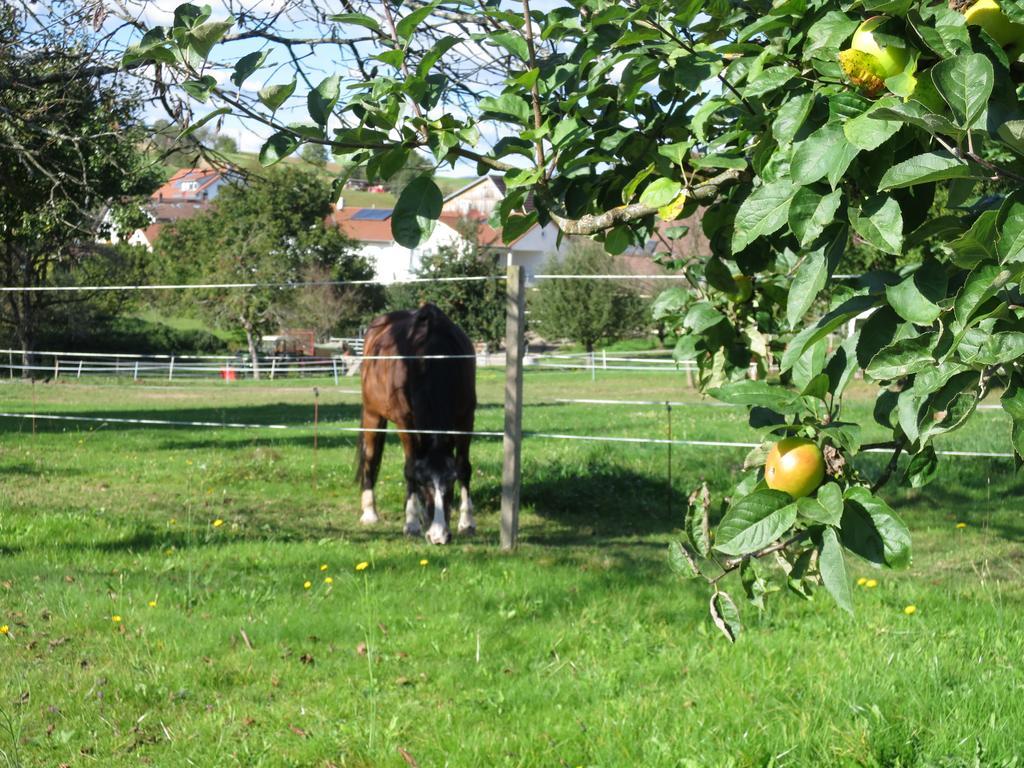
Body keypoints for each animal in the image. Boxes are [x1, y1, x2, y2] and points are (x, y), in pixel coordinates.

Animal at [354, 303, 477, 548]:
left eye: (450, 483)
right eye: (422, 483)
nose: (439, 537)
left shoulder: (466, 418)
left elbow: (464, 466)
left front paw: (467, 522)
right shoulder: (405, 422)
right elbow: (409, 468)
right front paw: (411, 523)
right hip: (373, 415)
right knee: (370, 458)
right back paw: (370, 512)